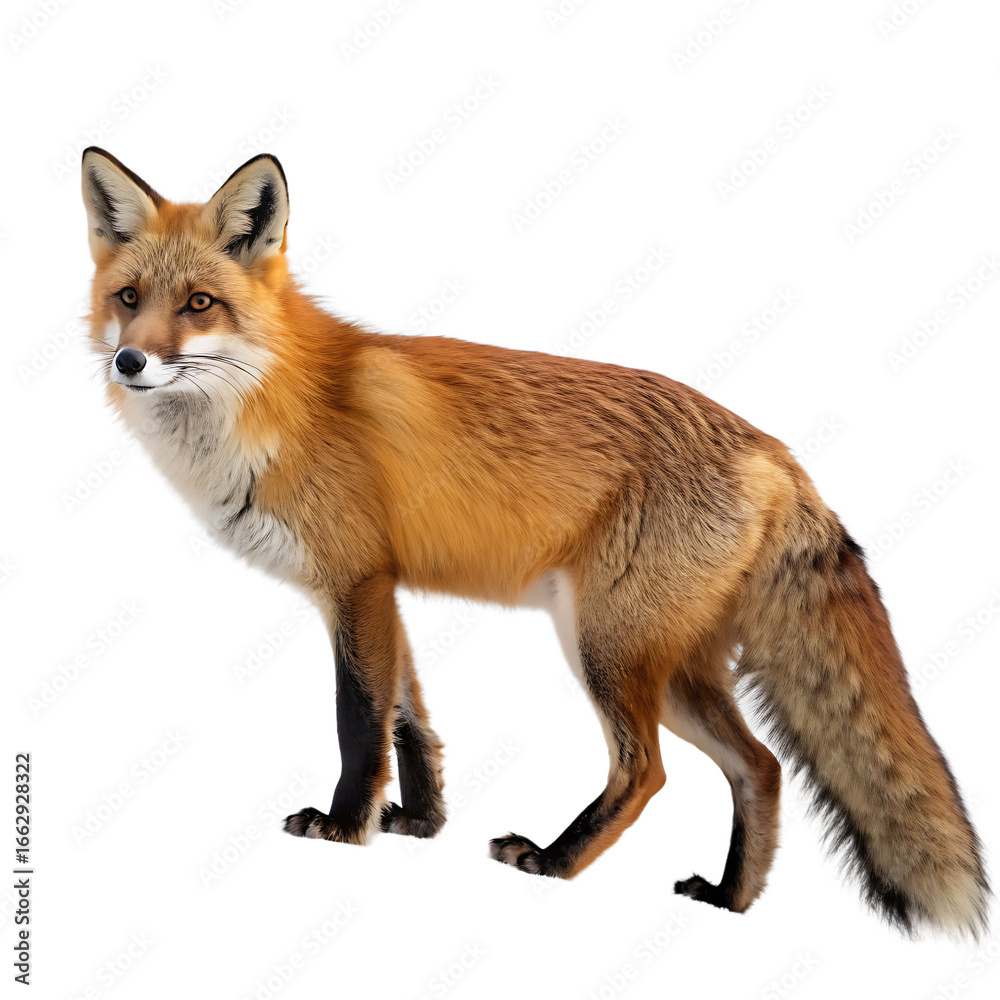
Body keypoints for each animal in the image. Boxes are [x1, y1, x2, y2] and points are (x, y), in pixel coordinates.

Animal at [80, 145, 989, 938]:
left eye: (199, 305)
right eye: (129, 298)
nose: (129, 361)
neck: (274, 403)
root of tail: (774, 451)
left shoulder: (356, 584)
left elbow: (361, 718)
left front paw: (344, 828)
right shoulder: (384, 593)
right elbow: (412, 721)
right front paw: (422, 821)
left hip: (608, 649)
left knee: (647, 770)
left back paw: (556, 860)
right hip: (673, 669)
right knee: (760, 768)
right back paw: (732, 900)